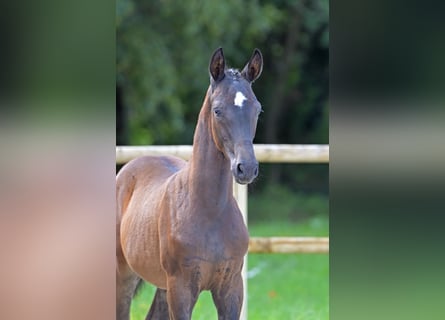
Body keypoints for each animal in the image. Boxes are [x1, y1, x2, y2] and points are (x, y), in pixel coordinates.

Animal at [116, 48, 262, 320]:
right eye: (217, 110)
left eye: (257, 110)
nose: (246, 168)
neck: (210, 211)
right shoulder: (181, 288)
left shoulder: (231, 288)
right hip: (124, 275)